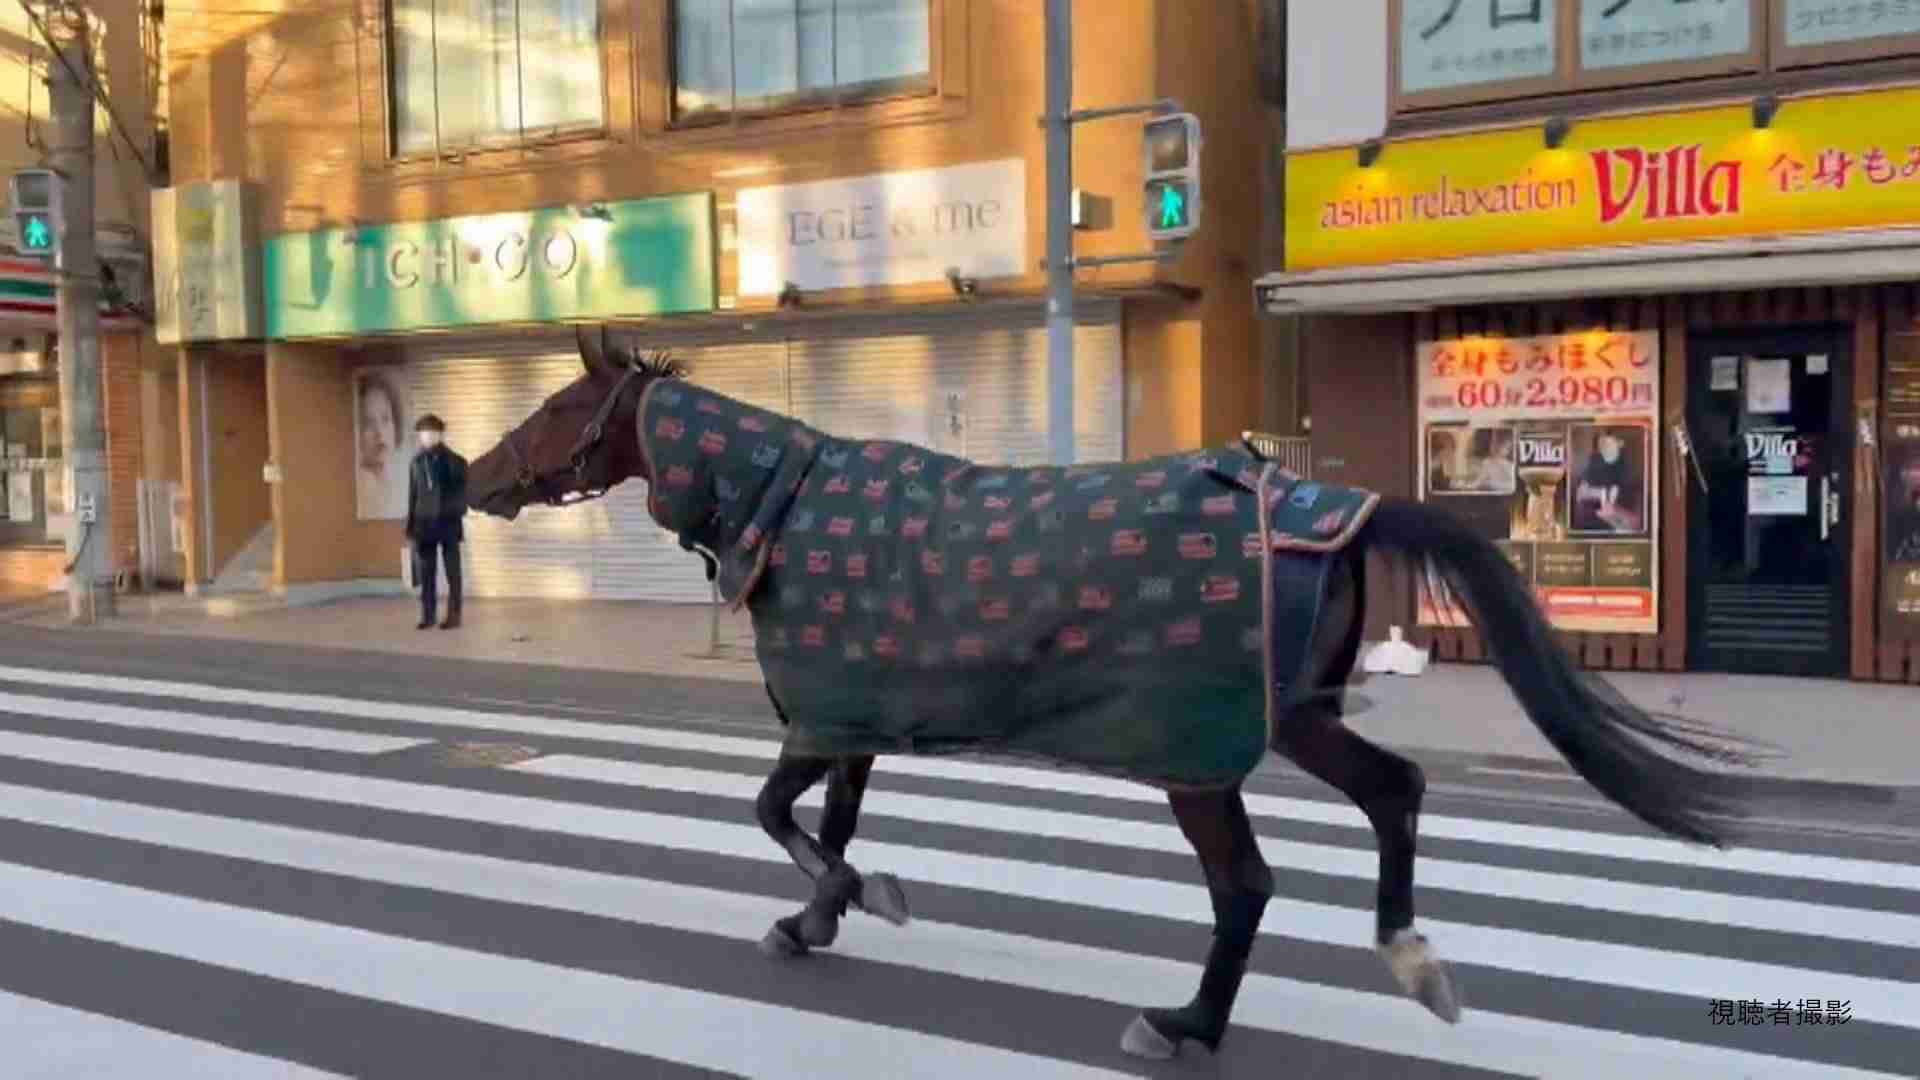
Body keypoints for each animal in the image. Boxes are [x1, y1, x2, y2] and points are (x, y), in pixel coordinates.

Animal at [462, 326, 1760, 1061]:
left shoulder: (822, 718)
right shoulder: (855, 717)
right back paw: (1407, 956)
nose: (473, 478)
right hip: (1300, 715)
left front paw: (855, 896)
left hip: (1205, 751)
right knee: (1394, 790)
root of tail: (1338, 511)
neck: (780, 503)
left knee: (1249, 883)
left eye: (559, 410)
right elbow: (827, 818)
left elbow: (778, 813)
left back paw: (1189, 1023)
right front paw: (816, 915)